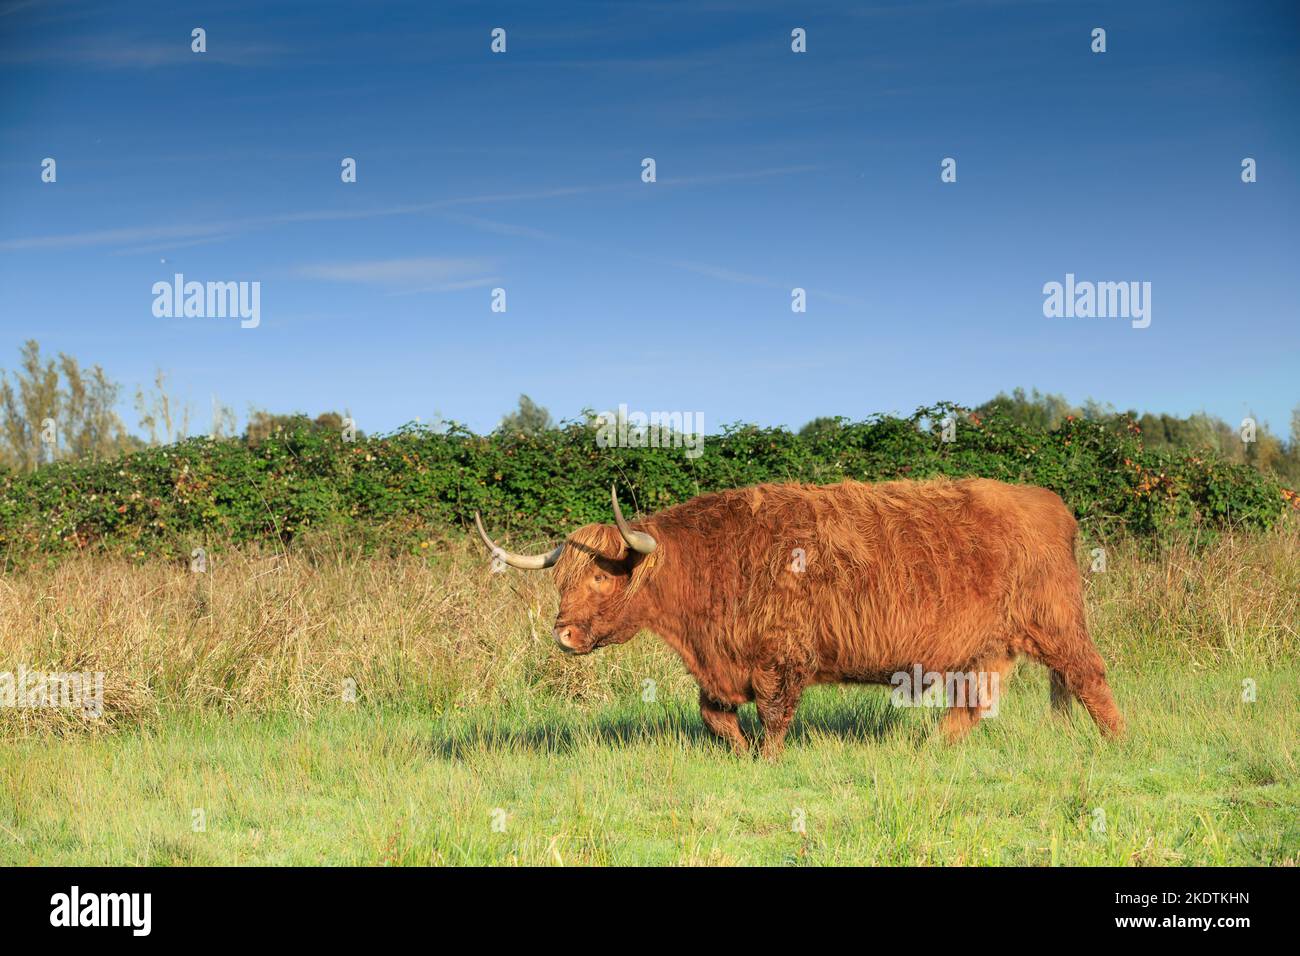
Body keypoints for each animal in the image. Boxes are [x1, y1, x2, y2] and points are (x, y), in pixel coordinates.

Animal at [473, 481, 1123, 759]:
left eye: (602, 577)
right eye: (561, 578)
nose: (563, 633)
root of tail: (1052, 504)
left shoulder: (780, 656)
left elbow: (775, 714)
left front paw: (768, 760)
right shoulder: (724, 663)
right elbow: (714, 716)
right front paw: (739, 754)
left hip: (1056, 620)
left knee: (1089, 675)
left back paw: (1119, 742)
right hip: (989, 643)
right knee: (975, 700)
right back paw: (927, 749)